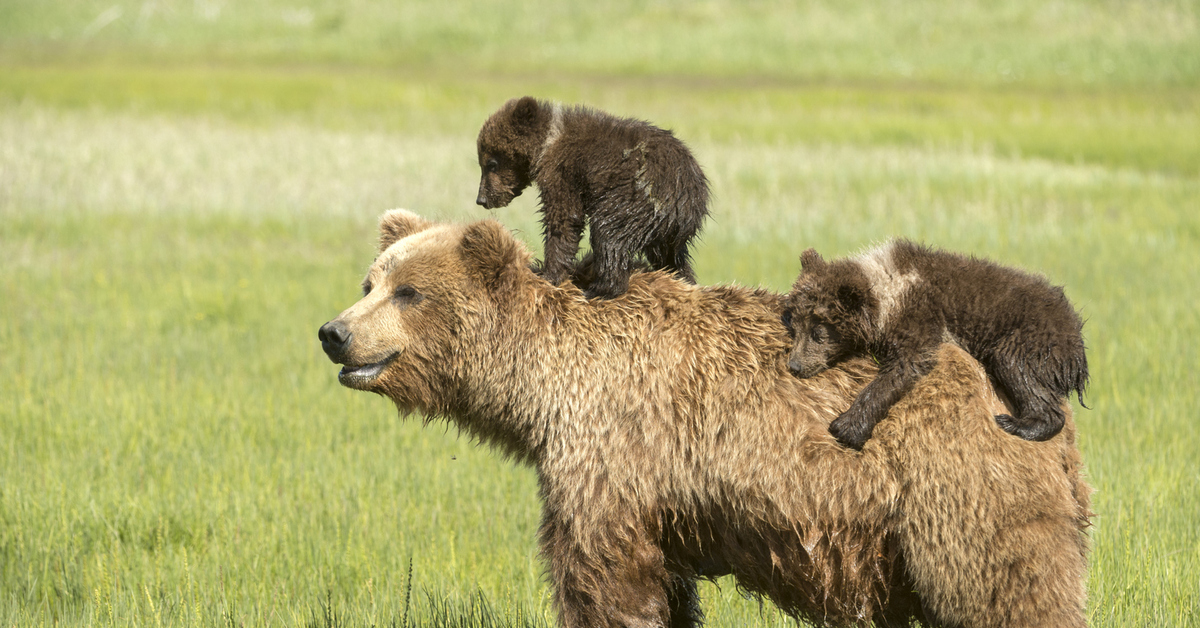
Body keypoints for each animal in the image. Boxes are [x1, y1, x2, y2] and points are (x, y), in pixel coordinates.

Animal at [316, 211, 1089, 628]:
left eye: (409, 292)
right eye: (370, 281)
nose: (335, 332)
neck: (547, 387)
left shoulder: (612, 450)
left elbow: (603, 575)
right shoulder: (660, 496)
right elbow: (665, 585)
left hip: (956, 488)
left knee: (1005, 588)